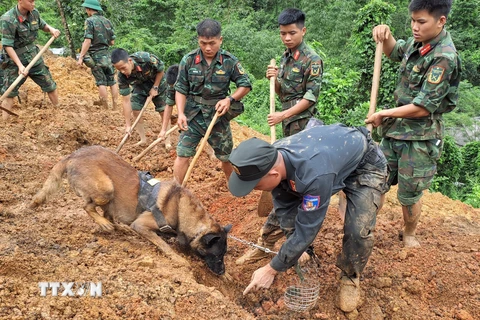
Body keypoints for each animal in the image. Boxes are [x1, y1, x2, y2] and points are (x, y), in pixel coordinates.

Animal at [30, 146, 232, 274]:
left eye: (224, 255)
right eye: (218, 255)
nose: (223, 273)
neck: (181, 209)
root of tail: (72, 156)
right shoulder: (142, 225)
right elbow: (163, 244)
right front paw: (178, 259)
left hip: (111, 199)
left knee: (108, 214)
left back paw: (118, 227)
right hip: (106, 189)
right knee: (87, 206)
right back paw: (105, 224)